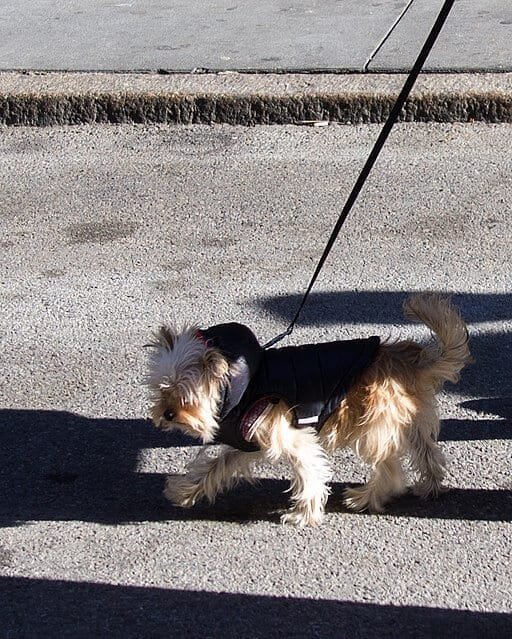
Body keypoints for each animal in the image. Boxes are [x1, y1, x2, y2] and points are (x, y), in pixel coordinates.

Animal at [146, 294, 470, 524]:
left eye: (185, 395)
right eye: (162, 389)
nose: (166, 414)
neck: (246, 382)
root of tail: (408, 361)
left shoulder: (293, 437)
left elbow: (309, 474)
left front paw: (304, 514)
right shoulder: (249, 443)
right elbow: (216, 466)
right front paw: (184, 492)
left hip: (374, 427)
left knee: (391, 472)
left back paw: (365, 498)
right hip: (409, 421)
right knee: (427, 452)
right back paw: (430, 486)